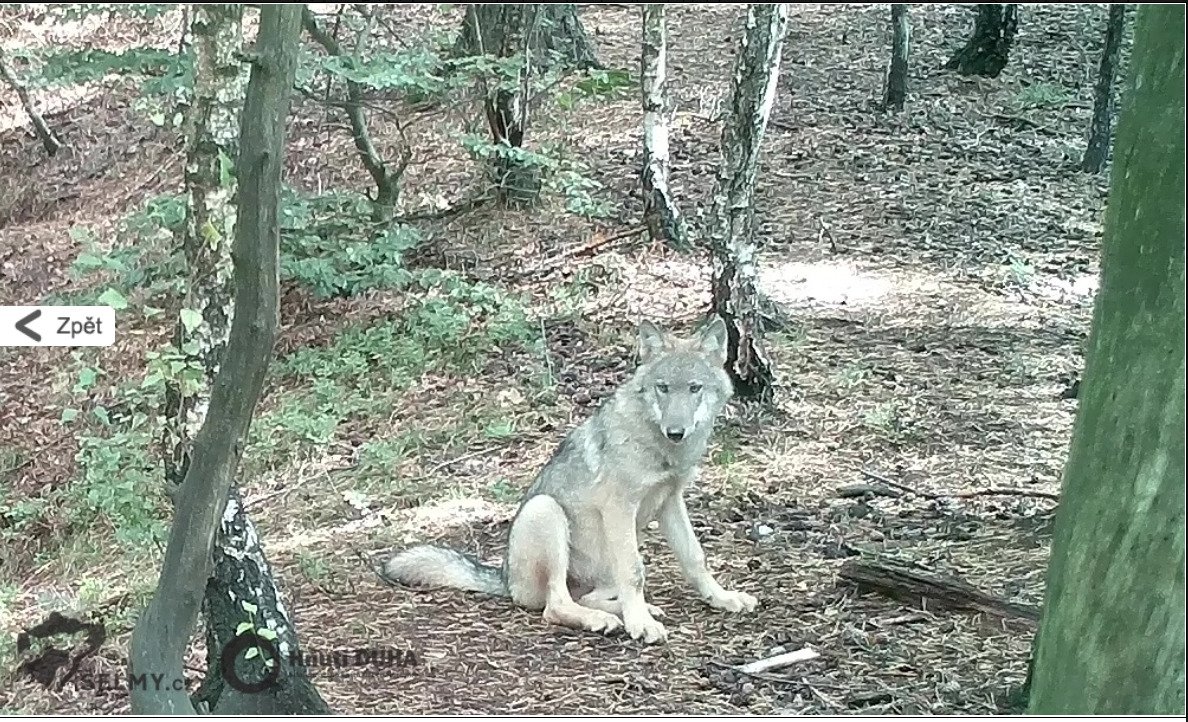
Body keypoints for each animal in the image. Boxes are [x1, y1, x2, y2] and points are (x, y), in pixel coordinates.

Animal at [375, 315, 755, 641]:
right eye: (662, 388)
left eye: (694, 388)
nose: (676, 431)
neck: (660, 447)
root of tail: (504, 578)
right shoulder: (620, 508)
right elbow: (635, 572)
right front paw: (641, 625)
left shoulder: (670, 501)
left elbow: (694, 557)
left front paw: (721, 598)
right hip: (546, 511)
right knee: (555, 606)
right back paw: (608, 619)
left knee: (587, 597)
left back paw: (629, 610)